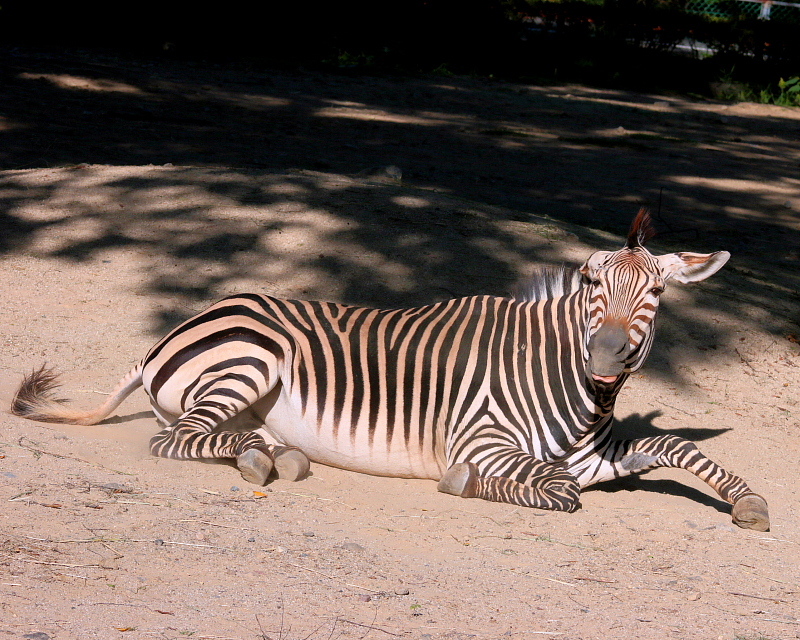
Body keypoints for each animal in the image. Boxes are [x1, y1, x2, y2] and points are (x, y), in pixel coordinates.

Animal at [10, 209, 768, 528]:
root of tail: (175, 330)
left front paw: (747, 499)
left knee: (214, 434)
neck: (584, 403)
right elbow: (555, 489)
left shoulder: (598, 454)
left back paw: (278, 453)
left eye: (657, 292)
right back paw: (258, 458)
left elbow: (672, 446)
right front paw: (464, 485)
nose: (607, 356)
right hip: (250, 358)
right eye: (589, 284)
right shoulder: (481, 439)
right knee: (173, 439)